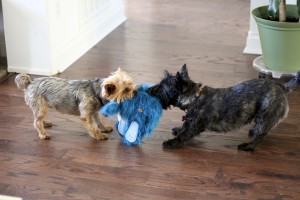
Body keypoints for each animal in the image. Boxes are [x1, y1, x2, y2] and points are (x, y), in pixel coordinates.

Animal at [148, 65, 300, 151]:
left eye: (162, 86)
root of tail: (282, 87)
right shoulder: (190, 120)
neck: (195, 97)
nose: (149, 90)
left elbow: (184, 134)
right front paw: (178, 129)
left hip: (265, 116)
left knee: (261, 135)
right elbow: (184, 126)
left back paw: (248, 146)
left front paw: (171, 142)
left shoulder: (195, 125)